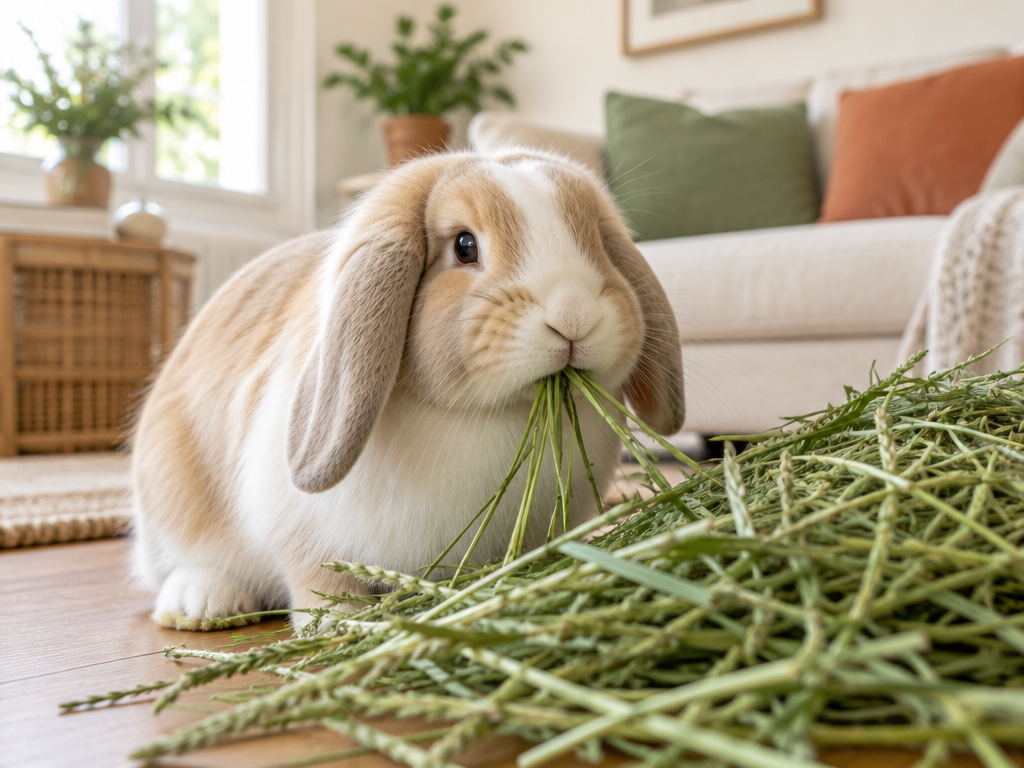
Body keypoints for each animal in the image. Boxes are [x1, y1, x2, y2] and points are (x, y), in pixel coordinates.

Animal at [130, 149, 684, 632]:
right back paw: (203, 604)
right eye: (464, 246)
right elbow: (316, 577)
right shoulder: (296, 530)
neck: (488, 417)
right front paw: (336, 622)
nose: (573, 317)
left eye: (597, 241)